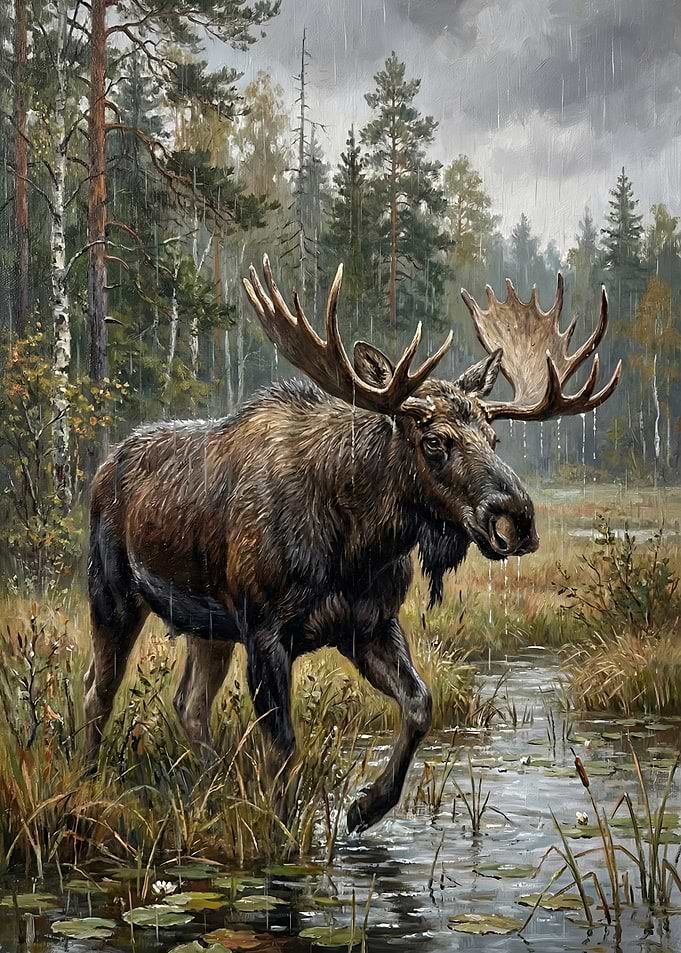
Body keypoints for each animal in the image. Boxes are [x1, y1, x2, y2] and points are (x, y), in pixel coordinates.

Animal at [85, 256, 621, 833]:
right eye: (434, 441)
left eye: (494, 438)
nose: (516, 519)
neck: (357, 544)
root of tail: (104, 465)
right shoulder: (265, 629)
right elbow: (282, 746)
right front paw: (283, 831)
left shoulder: (370, 624)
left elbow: (420, 703)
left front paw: (367, 805)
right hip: (114, 594)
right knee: (99, 690)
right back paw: (88, 778)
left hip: (209, 626)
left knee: (188, 704)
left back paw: (214, 786)